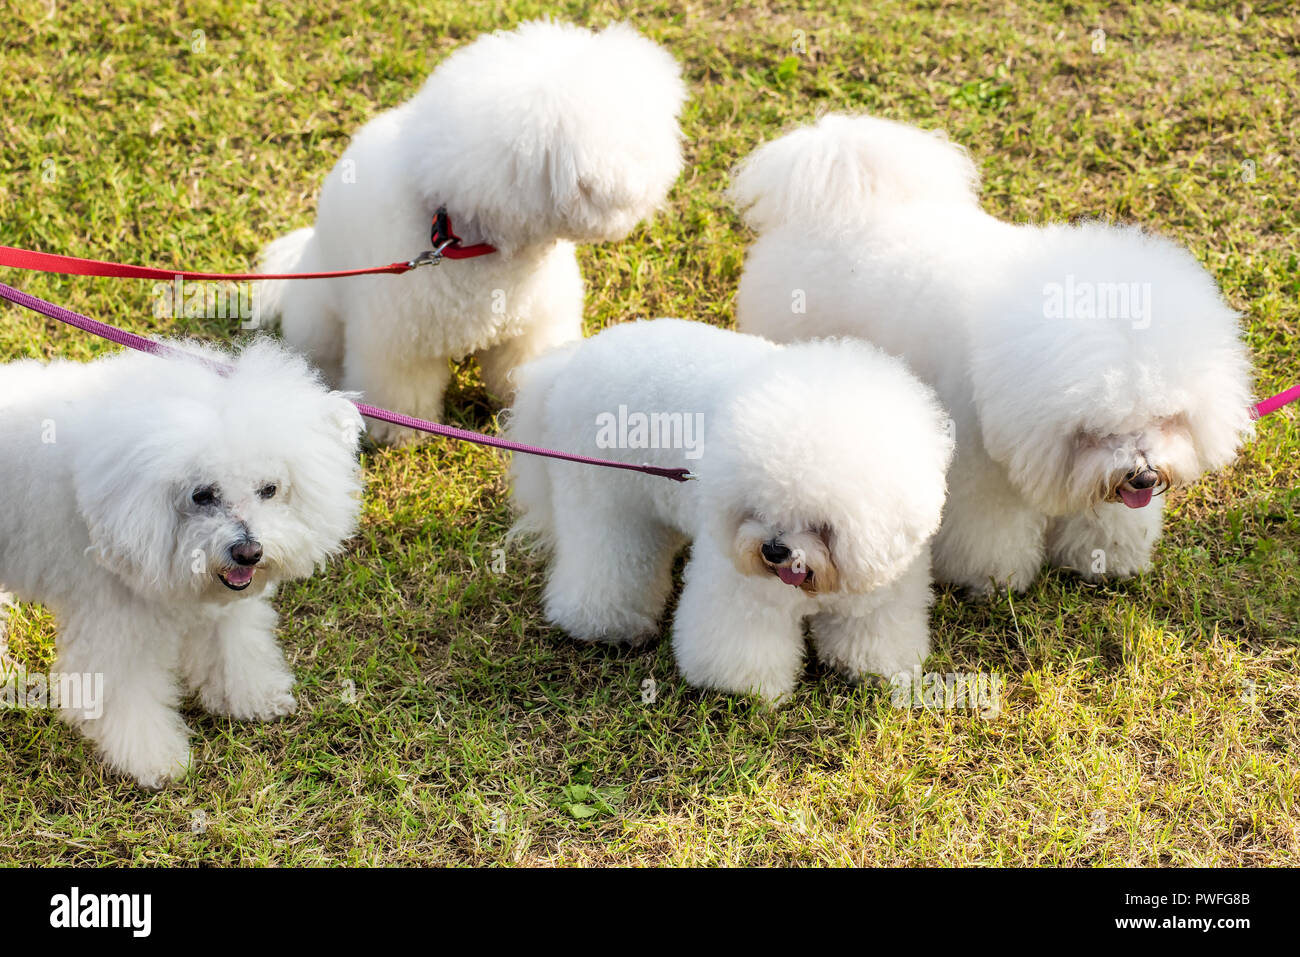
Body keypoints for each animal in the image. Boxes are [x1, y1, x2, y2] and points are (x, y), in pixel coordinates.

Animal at [1, 340, 366, 790]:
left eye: (269, 489)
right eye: (202, 495)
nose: (249, 552)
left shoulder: (219, 606)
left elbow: (232, 646)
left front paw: (250, 695)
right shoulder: (115, 621)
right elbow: (125, 691)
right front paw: (152, 756)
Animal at [261, 18, 691, 444]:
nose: (673, 165)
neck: (463, 240)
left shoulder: (532, 327)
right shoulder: (398, 345)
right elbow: (401, 395)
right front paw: (401, 433)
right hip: (320, 320)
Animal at [506, 317, 956, 696]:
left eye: (819, 524)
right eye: (755, 508)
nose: (773, 551)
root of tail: (570, 365)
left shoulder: (882, 589)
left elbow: (871, 629)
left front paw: (871, 668)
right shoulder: (740, 589)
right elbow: (741, 637)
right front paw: (744, 688)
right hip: (605, 507)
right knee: (604, 567)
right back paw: (607, 625)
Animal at [728, 111, 1253, 590]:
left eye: (1166, 418)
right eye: (1094, 431)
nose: (1142, 477)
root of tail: (830, 197)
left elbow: (1103, 517)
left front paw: (1105, 560)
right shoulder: (981, 470)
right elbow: (990, 529)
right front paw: (995, 580)